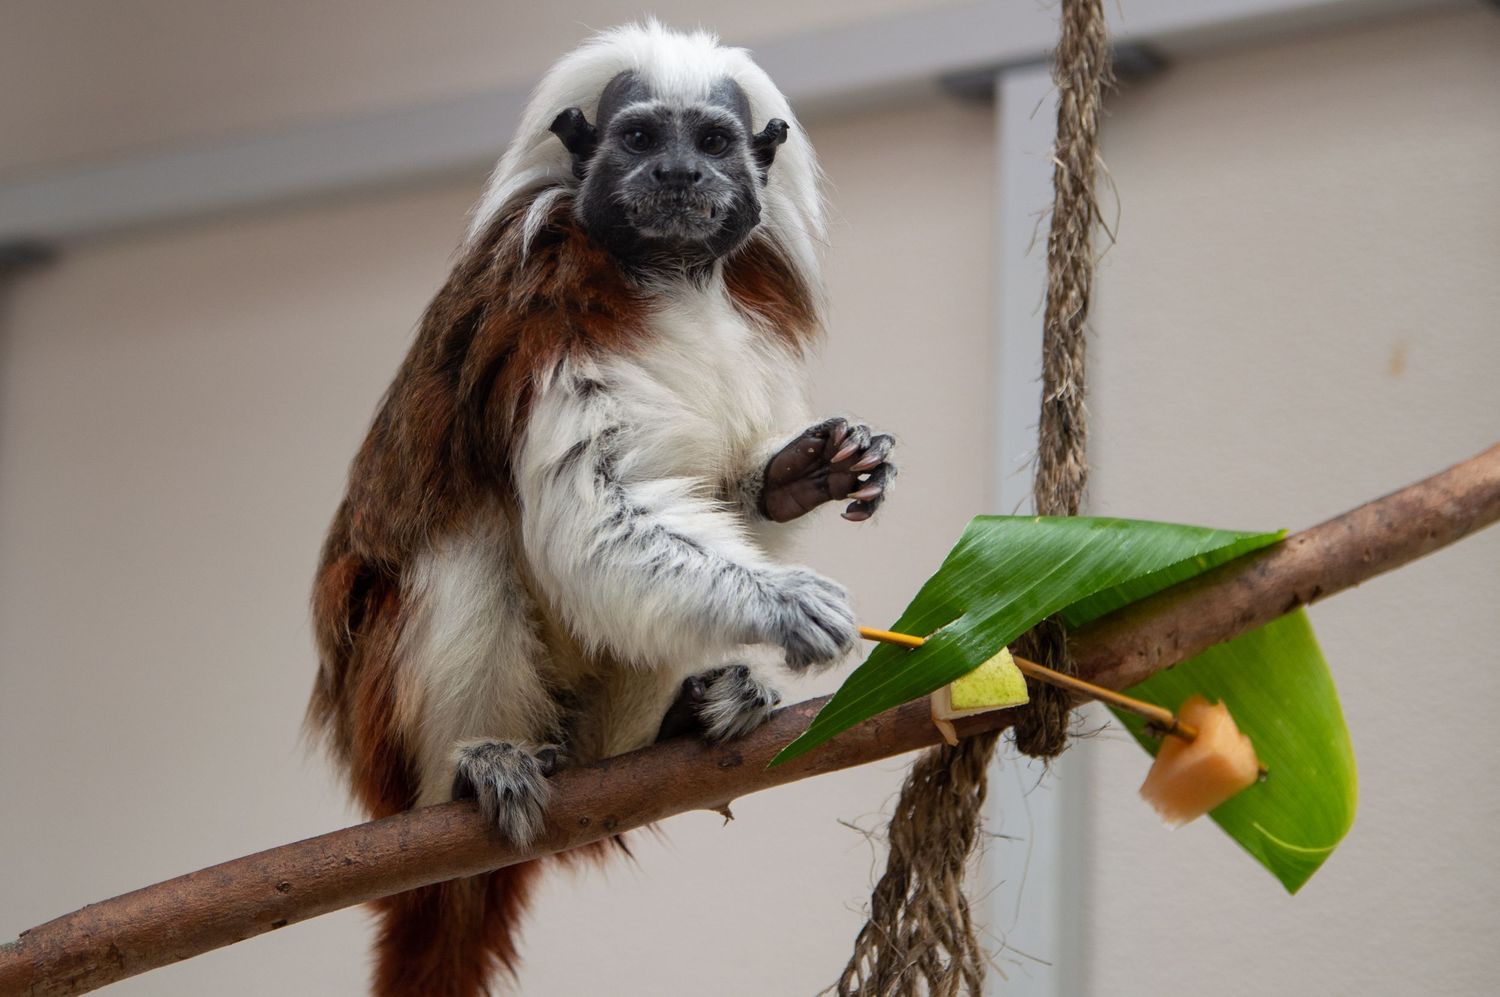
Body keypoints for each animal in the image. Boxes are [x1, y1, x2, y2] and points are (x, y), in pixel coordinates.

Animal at [307, 22, 895, 997]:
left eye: (714, 141)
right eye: (641, 137)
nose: (679, 176)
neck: (675, 277)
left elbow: (720, 492)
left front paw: (805, 472)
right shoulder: (544, 314)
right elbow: (593, 515)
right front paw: (784, 603)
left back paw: (689, 713)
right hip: (383, 738)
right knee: (466, 547)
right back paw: (475, 769)